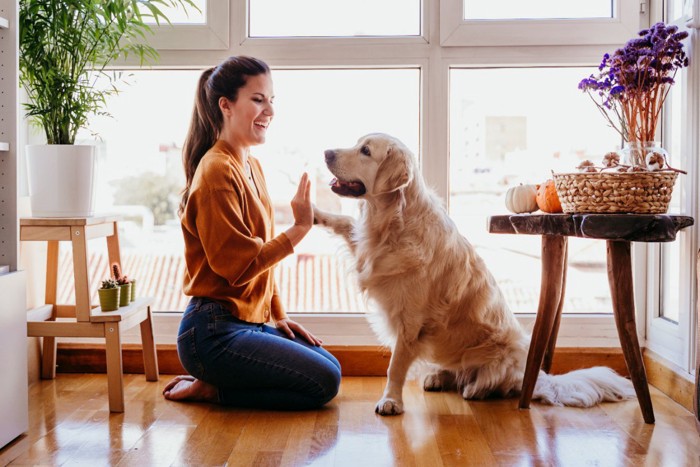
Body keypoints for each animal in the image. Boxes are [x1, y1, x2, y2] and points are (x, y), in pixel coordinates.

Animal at [314, 133, 636, 416]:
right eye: (357, 144)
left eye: (366, 151)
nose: (326, 152)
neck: (393, 222)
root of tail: (533, 375)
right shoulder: (367, 251)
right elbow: (344, 221)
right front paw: (315, 212)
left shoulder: (410, 322)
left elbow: (395, 366)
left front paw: (391, 401)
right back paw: (438, 377)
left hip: (501, 354)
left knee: (494, 383)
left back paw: (476, 389)